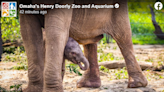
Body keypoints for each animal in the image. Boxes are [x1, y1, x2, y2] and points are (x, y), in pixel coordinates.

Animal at [18, 0, 147, 91]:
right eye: (73, 53)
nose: (79, 65)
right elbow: (28, 32)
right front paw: (31, 90)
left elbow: (55, 33)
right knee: (90, 40)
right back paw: (87, 85)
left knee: (123, 36)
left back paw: (136, 85)